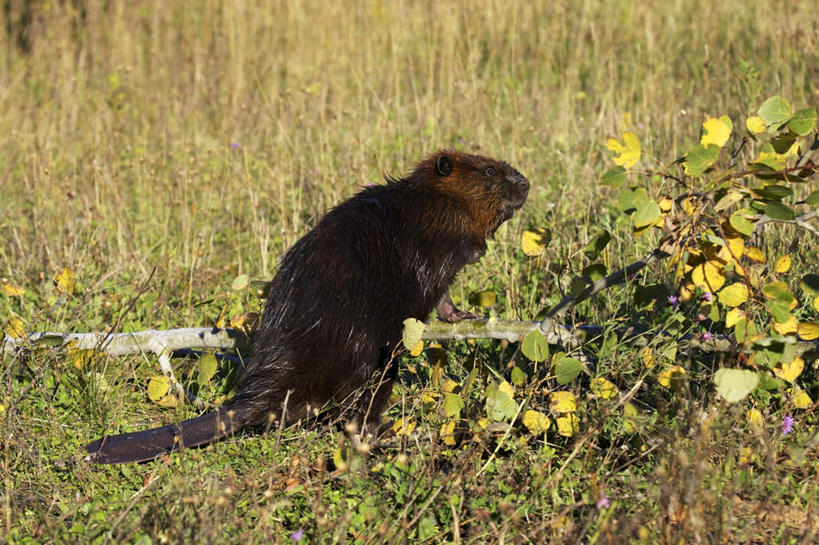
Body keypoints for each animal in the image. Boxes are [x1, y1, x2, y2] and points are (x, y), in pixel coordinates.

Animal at [85, 150, 532, 464]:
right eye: (489, 172)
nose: (526, 182)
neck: (426, 201)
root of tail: (253, 403)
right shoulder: (432, 240)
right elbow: (431, 284)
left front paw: (466, 316)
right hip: (370, 357)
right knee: (358, 407)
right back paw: (384, 432)